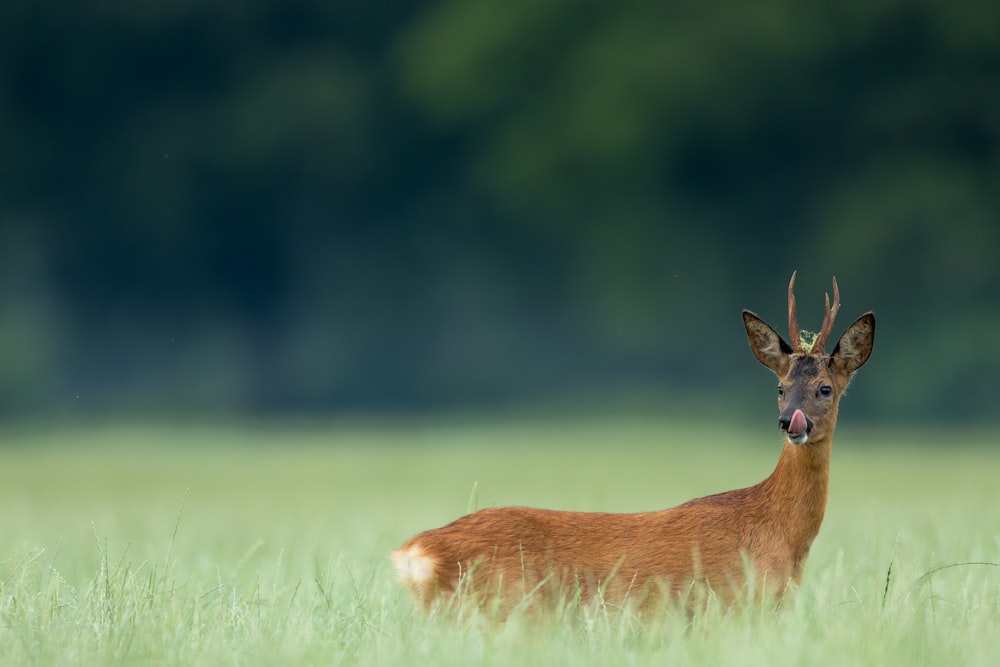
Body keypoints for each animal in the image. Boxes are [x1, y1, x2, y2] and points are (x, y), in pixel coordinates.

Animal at [392, 274, 876, 612]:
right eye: (779, 387)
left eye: (825, 389)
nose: (789, 422)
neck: (780, 534)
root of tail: (413, 553)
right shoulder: (732, 604)